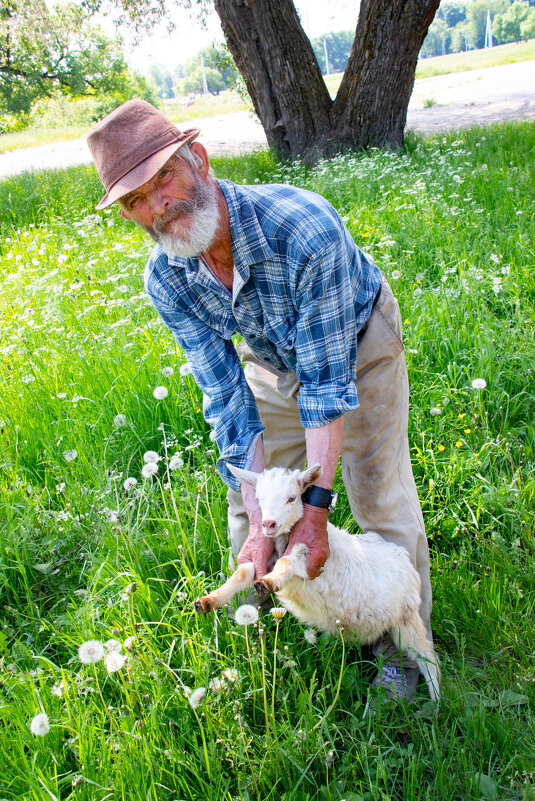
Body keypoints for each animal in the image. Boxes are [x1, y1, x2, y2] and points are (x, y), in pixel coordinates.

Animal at [196, 462, 440, 700]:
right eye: (259, 498)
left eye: (292, 497)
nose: (268, 524)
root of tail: (403, 556)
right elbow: (243, 572)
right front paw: (207, 601)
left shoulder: (308, 560)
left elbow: (286, 563)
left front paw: (267, 582)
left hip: (407, 619)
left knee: (428, 657)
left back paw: (435, 703)